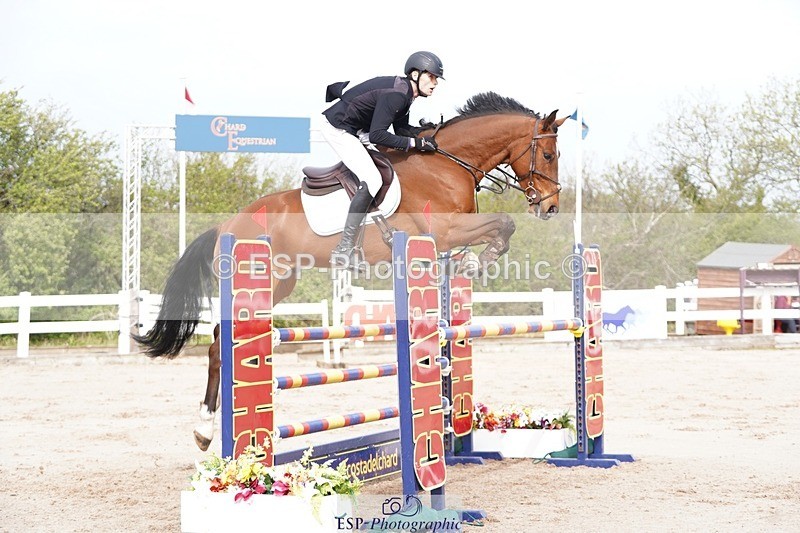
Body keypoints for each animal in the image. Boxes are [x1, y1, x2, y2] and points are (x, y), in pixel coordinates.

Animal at [134, 92, 568, 450]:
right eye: (548, 156)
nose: (549, 207)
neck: (446, 165)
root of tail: (226, 225)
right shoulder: (444, 231)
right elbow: (503, 225)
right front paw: (478, 260)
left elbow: (501, 230)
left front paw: (472, 261)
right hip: (261, 283)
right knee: (218, 345)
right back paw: (206, 430)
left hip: (281, 283)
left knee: (224, 341)